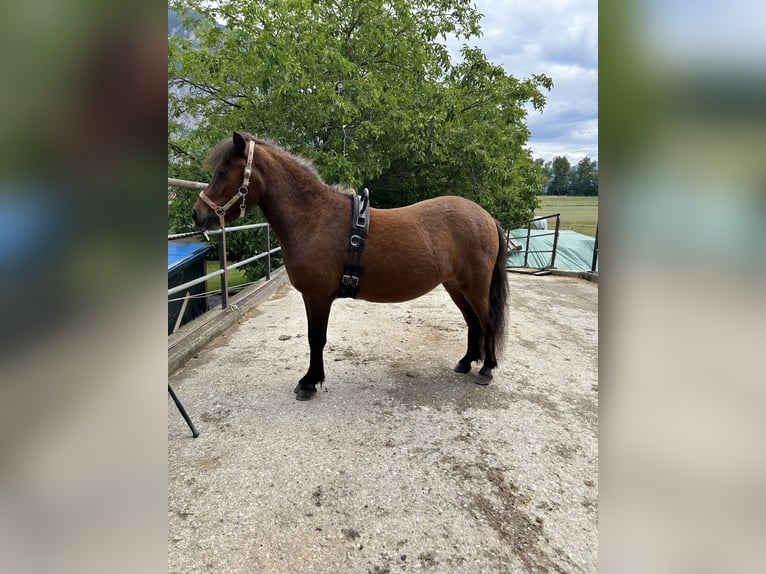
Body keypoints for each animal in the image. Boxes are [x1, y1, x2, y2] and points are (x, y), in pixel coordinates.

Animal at [192, 131, 510, 402]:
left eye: (223, 172)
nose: (198, 214)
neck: (314, 218)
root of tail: (486, 216)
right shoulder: (313, 297)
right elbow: (315, 338)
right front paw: (312, 379)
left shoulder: (318, 297)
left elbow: (316, 338)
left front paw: (309, 383)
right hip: (456, 286)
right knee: (472, 322)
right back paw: (466, 362)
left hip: (475, 287)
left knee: (487, 321)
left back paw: (486, 369)